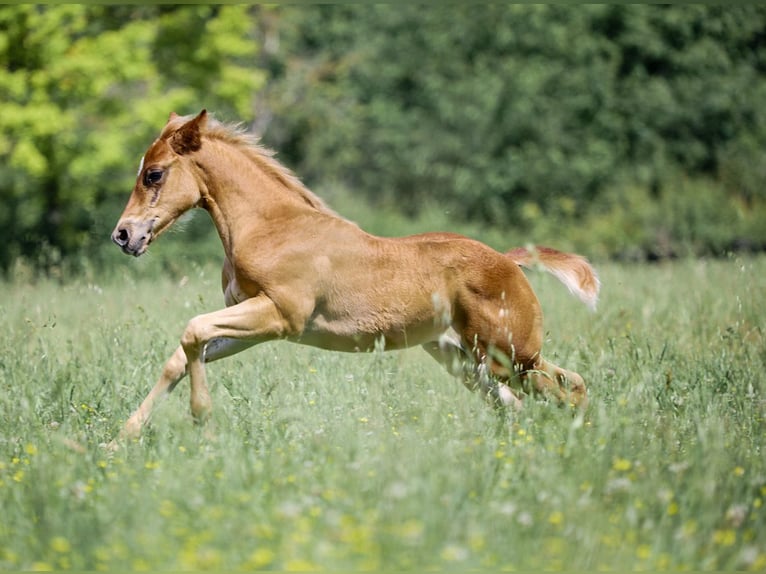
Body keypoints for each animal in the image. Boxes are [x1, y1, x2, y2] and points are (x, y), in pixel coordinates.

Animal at [112, 110, 600, 438]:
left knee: (569, 385)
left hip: (510, 354)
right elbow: (181, 354)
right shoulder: (254, 321)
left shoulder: (279, 316)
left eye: (154, 174)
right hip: (461, 357)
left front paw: (201, 417)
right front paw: (121, 440)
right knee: (515, 404)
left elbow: (193, 330)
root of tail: (508, 260)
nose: (122, 235)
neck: (271, 226)